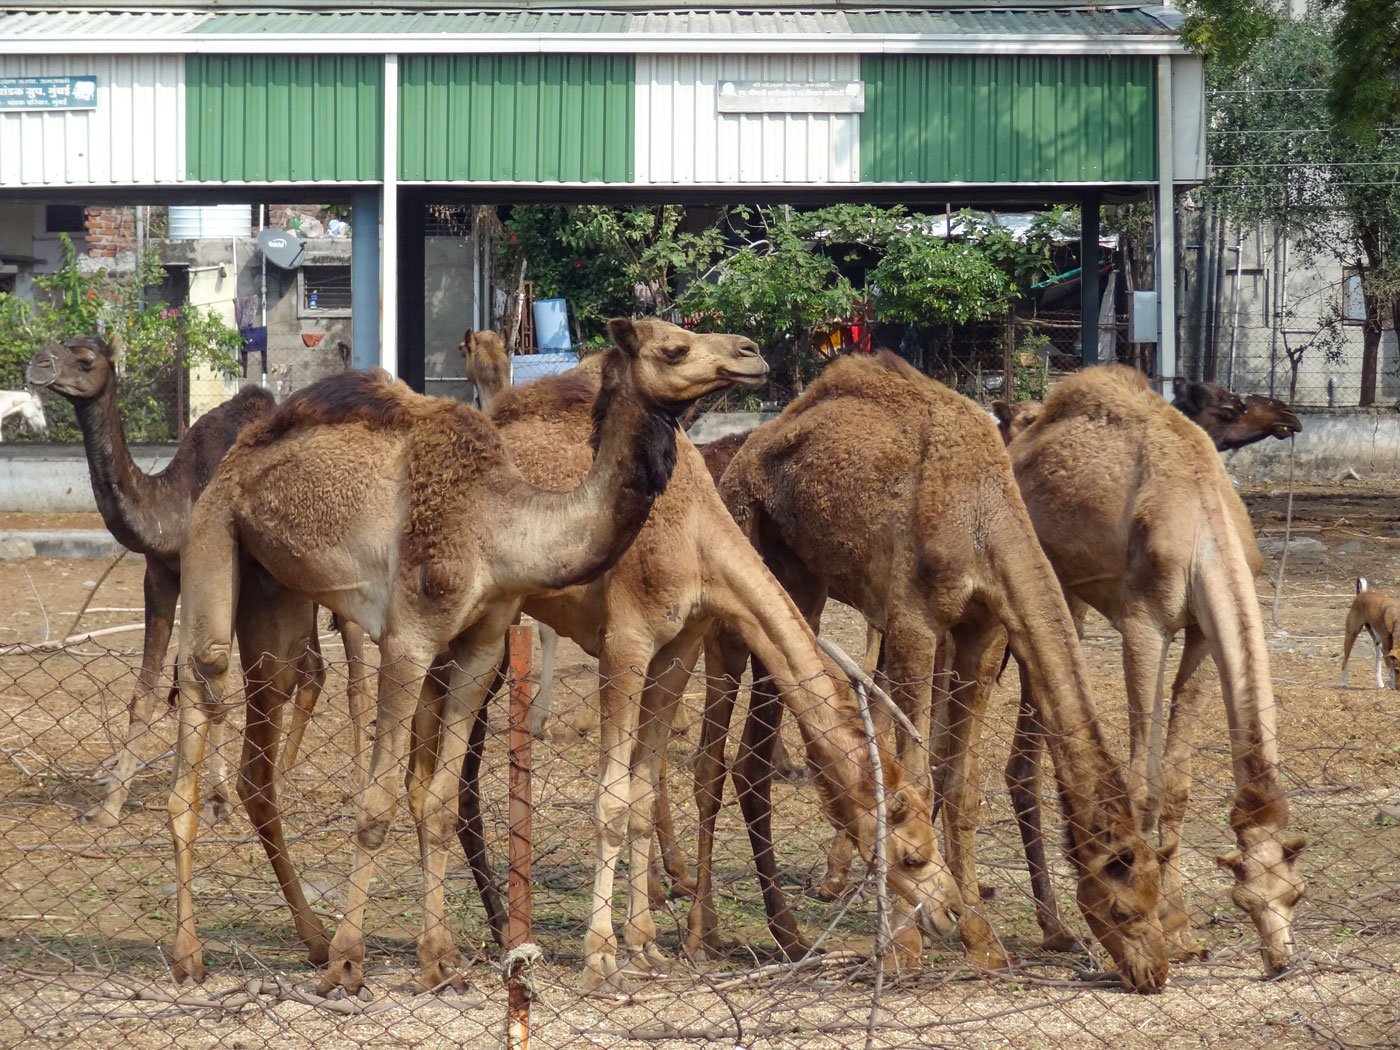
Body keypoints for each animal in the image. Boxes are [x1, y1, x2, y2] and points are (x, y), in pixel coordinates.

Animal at [25, 338, 372, 828]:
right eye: (53, 344)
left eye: (86, 359)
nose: (37, 365)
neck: (176, 502)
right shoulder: (160, 575)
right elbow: (148, 690)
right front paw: (108, 808)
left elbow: (214, 687)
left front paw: (218, 800)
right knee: (313, 673)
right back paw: (281, 782)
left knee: (356, 681)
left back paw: (359, 793)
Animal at [169, 320, 772, 1002]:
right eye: (673, 348)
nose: (751, 354)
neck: (502, 527)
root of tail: (237, 458)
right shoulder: (409, 639)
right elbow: (375, 806)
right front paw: (349, 965)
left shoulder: (482, 644)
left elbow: (435, 804)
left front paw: (440, 962)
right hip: (213, 536)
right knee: (200, 698)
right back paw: (192, 955)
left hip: (277, 599)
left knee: (259, 756)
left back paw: (312, 937)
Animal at [459, 350, 963, 991]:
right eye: (910, 855)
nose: (951, 912)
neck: (697, 534)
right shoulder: (627, 640)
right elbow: (612, 801)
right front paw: (601, 955)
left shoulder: (680, 644)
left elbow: (642, 794)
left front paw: (646, 945)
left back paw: (497, 926)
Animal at [722, 351, 1170, 996]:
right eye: (1122, 908)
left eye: (1160, 898)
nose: (1154, 971)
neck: (981, 515)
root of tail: (753, 444)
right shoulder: (913, 622)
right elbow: (913, 777)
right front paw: (903, 950)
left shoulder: (982, 632)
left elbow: (959, 785)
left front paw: (983, 942)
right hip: (763, 554)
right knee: (745, 759)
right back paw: (775, 936)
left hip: (811, 580)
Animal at [991, 369, 1304, 980]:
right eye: (1243, 899)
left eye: (1295, 894)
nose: (1280, 960)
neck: (1204, 526)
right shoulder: (1144, 622)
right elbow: (1143, 781)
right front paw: (1151, 920)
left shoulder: (1201, 632)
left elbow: (1177, 785)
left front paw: (1182, 934)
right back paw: (1052, 929)